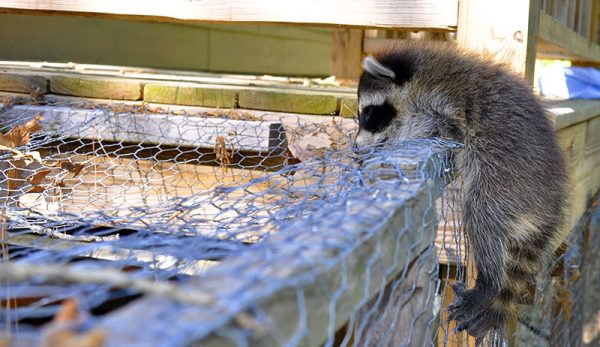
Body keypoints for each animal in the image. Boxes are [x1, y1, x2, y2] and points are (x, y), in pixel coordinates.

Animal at [354, 40, 568, 342]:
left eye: (369, 113)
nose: (356, 147)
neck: (418, 78)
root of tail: (551, 202)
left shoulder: (444, 100)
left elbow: (448, 128)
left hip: (509, 179)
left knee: (483, 213)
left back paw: (489, 282)